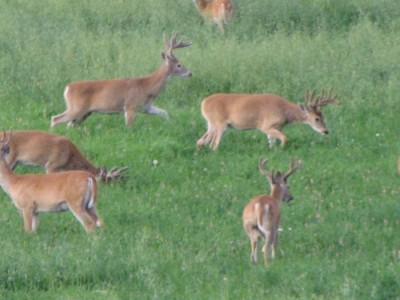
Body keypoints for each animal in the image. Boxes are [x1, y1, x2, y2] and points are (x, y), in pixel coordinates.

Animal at [50, 32, 192, 128]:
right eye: (179, 65)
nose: (190, 73)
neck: (147, 86)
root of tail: (67, 88)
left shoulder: (146, 107)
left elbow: (164, 112)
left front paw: (171, 125)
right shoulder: (130, 106)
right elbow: (130, 127)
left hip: (85, 112)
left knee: (69, 124)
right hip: (77, 108)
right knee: (55, 119)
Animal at [195, 89, 340, 150]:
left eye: (323, 116)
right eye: (316, 118)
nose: (326, 131)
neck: (284, 112)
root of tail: (203, 103)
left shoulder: (276, 127)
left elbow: (272, 142)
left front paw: (272, 152)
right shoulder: (266, 126)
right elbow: (284, 138)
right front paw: (281, 150)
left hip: (211, 124)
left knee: (201, 141)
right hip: (220, 123)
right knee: (213, 144)